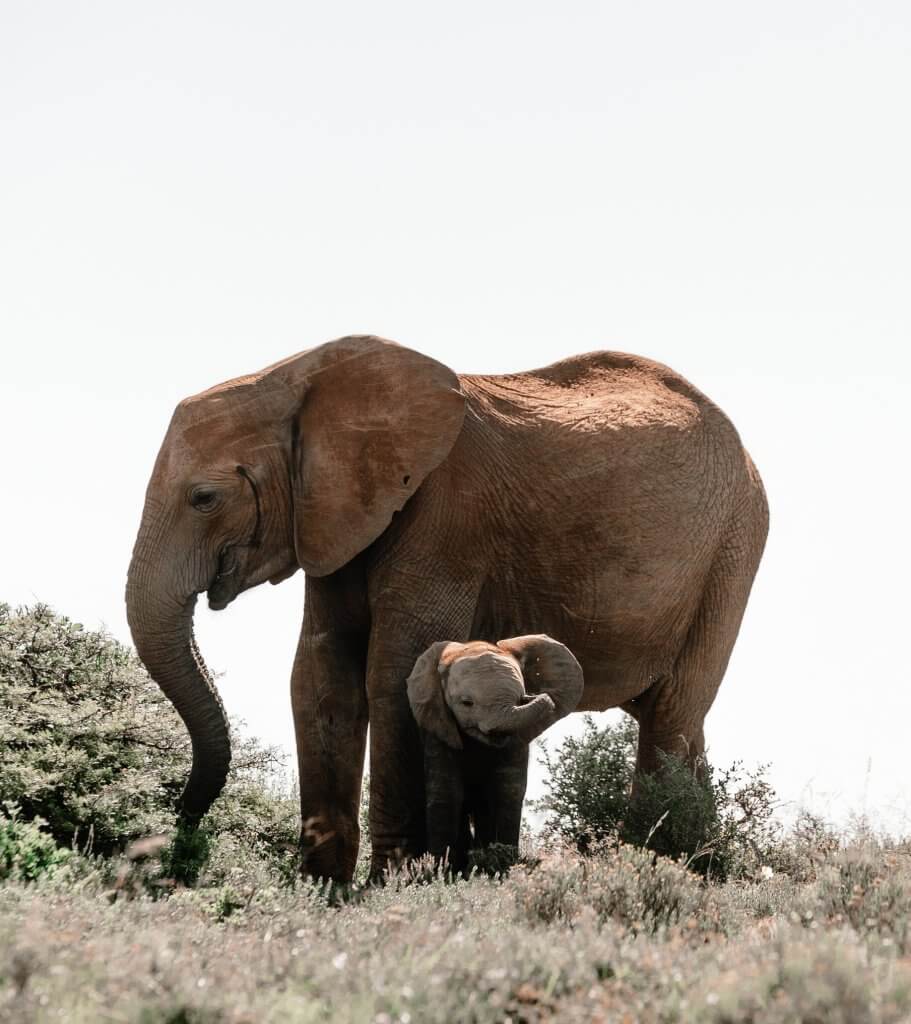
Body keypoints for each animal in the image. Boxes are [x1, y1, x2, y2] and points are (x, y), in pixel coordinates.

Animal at [407, 634, 581, 868]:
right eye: (467, 703)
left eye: (520, 698)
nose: (534, 696)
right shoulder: (438, 727)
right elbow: (446, 792)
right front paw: (439, 869)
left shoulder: (516, 740)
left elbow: (507, 791)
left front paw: (503, 865)